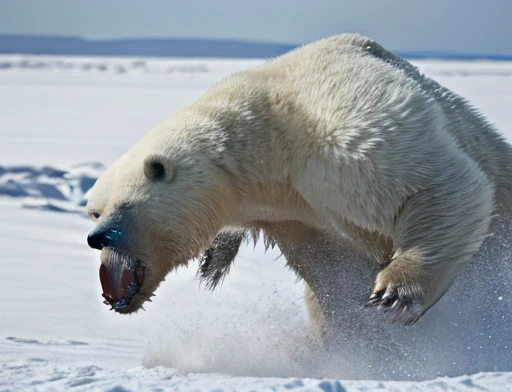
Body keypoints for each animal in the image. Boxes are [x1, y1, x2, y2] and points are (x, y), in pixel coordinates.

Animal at [87, 33, 512, 330]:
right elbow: (332, 279)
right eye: (93, 211)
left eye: (124, 207)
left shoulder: (340, 133)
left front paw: (396, 292)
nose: (97, 238)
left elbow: (434, 185)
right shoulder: (293, 219)